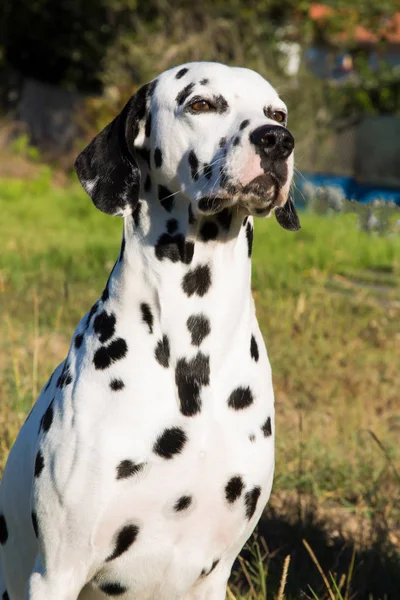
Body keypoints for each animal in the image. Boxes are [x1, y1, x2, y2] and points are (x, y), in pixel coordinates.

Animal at [0, 62, 298, 600]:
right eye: (201, 103)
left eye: (277, 112)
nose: (277, 141)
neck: (193, 354)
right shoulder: (56, 571)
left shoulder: (215, 573)